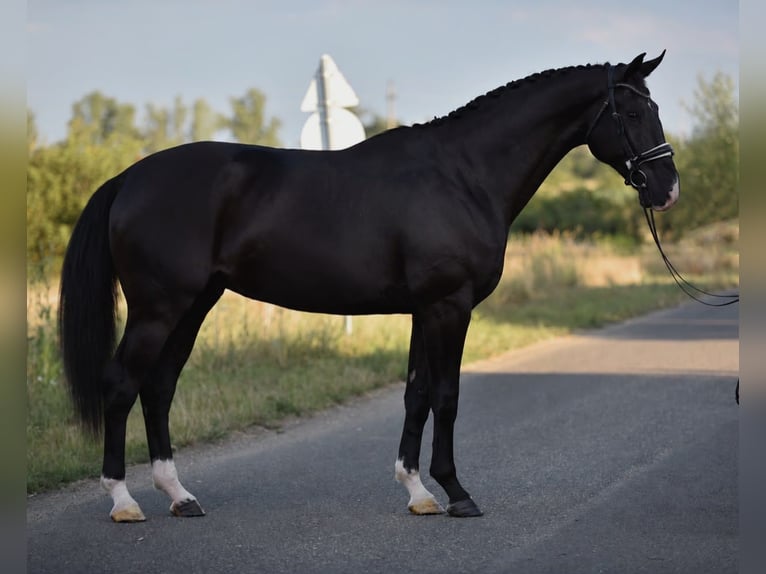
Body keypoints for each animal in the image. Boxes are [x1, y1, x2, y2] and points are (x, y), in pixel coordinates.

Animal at [59, 52, 679, 522]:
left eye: (654, 107)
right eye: (630, 110)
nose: (667, 188)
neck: (462, 173)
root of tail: (129, 178)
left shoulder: (423, 310)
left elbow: (417, 394)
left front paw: (418, 492)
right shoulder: (448, 307)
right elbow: (447, 396)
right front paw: (457, 494)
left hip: (193, 305)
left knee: (159, 386)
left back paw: (179, 496)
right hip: (158, 308)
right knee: (122, 384)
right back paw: (123, 502)